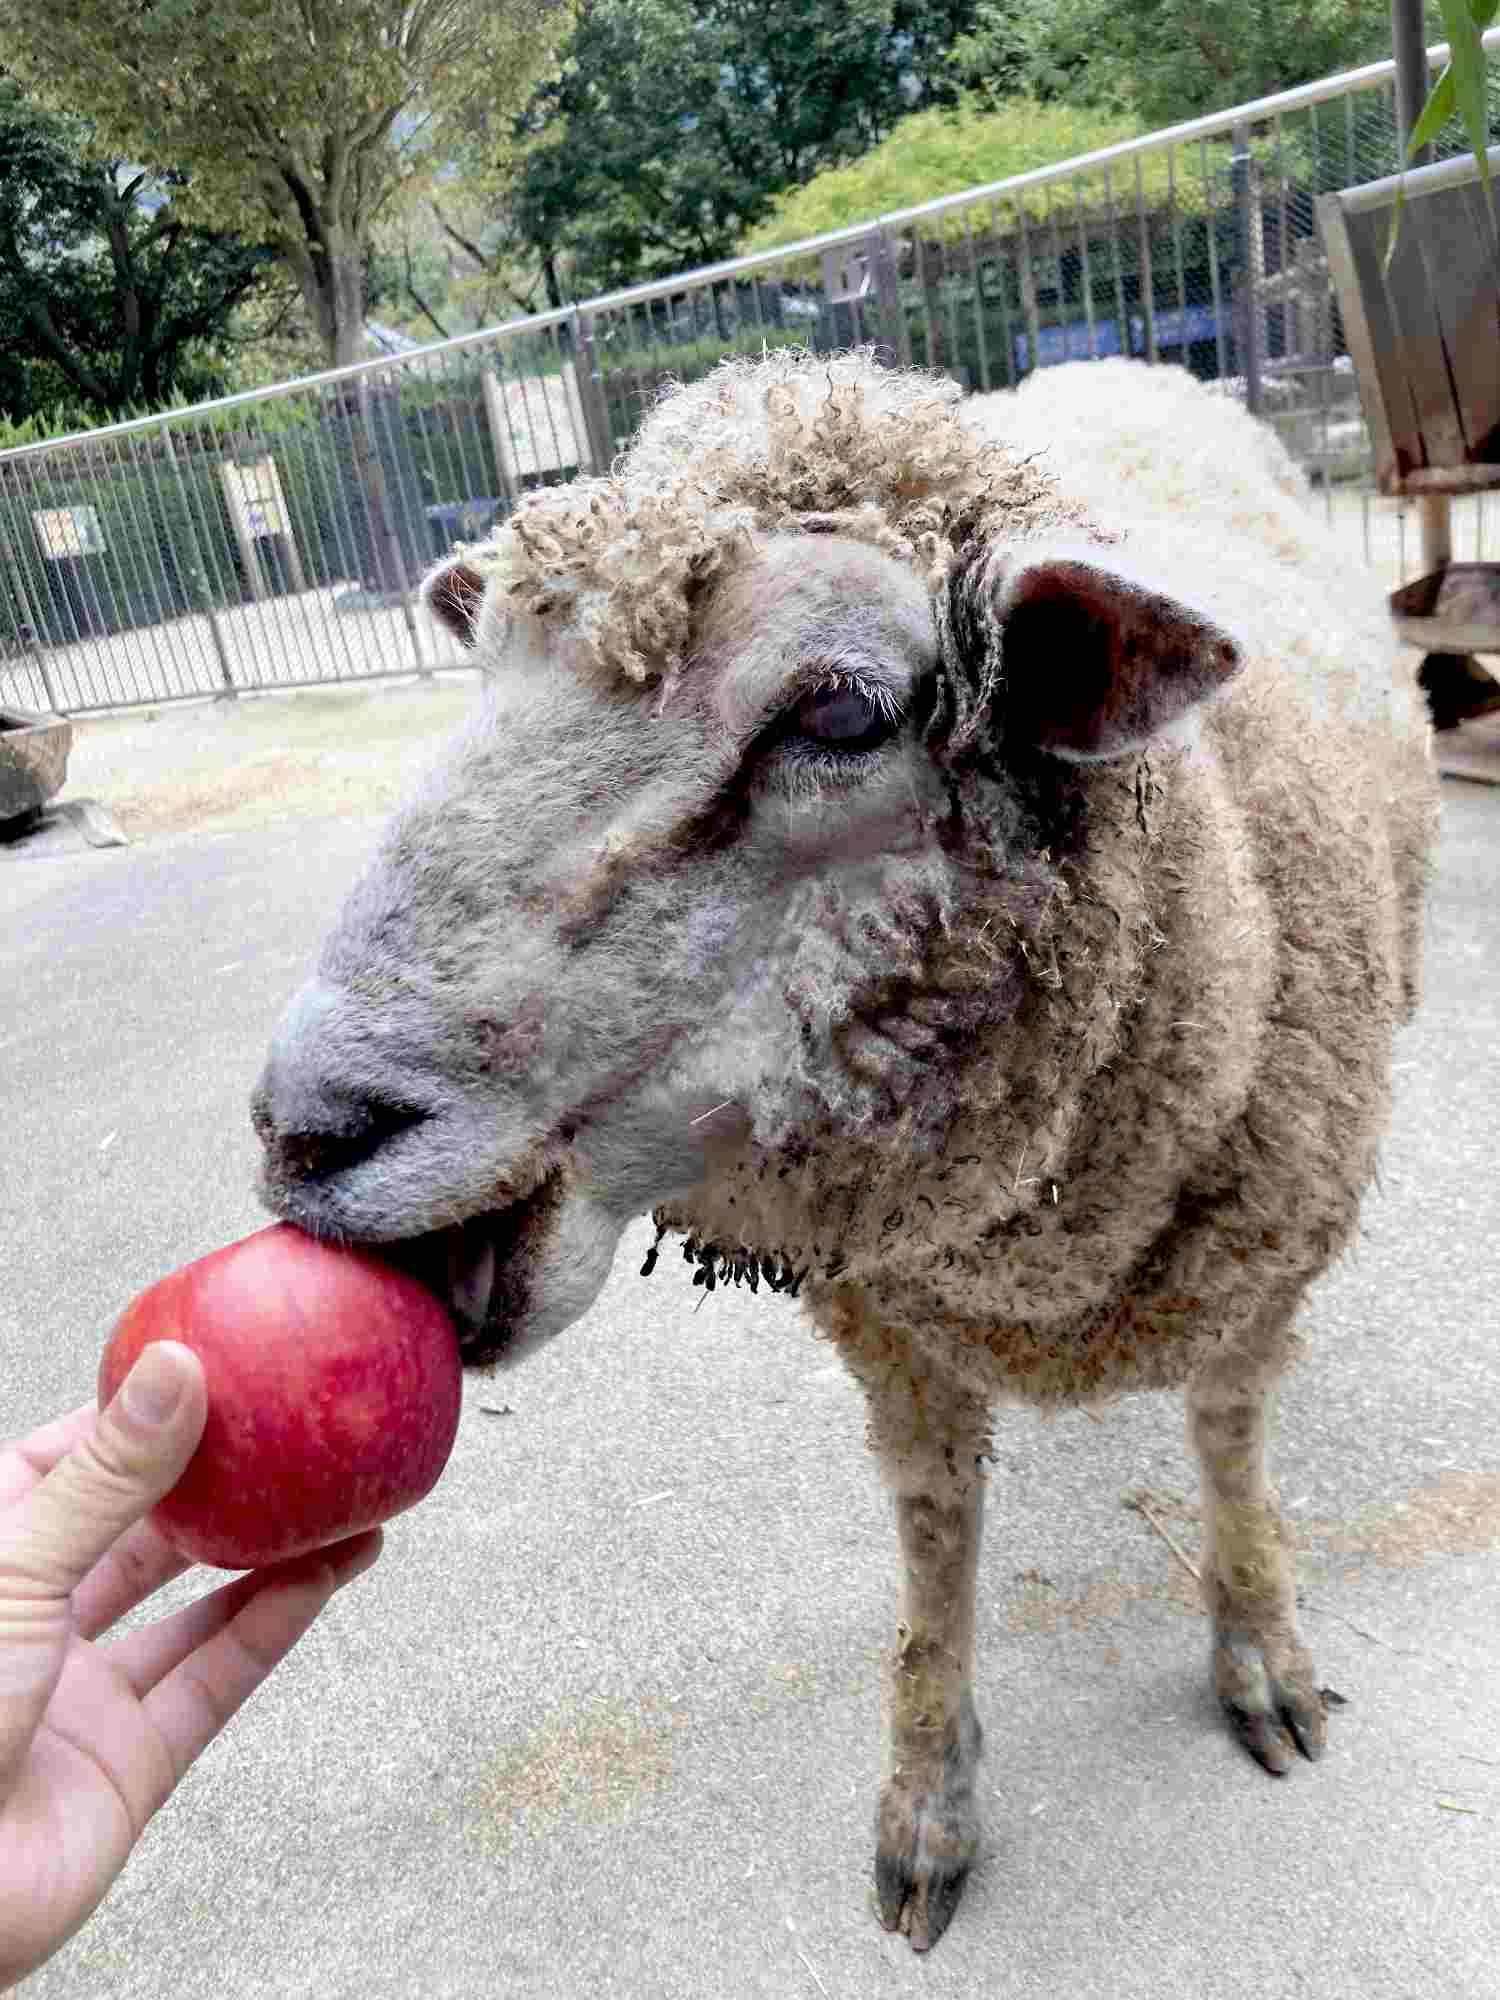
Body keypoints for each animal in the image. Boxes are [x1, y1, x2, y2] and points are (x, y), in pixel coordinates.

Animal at [253, 348, 1440, 1952]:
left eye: (838, 712)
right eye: (485, 668)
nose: (305, 1126)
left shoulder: (1257, 1270)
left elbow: (1230, 1447)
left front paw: (1261, 1648)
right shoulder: (894, 1329)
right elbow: (936, 1550)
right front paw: (928, 1801)